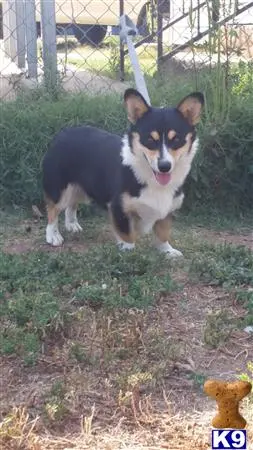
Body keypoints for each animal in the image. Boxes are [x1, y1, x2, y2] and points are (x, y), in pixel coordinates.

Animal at [42, 88, 204, 256]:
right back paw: (53, 236)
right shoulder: (118, 208)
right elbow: (127, 234)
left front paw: (167, 251)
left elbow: (163, 232)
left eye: (176, 139)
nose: (164, 166)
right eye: (150, 140)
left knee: (71, 205)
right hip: (59, 189)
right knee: (52, 210)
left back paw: (72, 224)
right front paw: (128, 251)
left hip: (80, 188)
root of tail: (62, 134)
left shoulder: (166, 209)